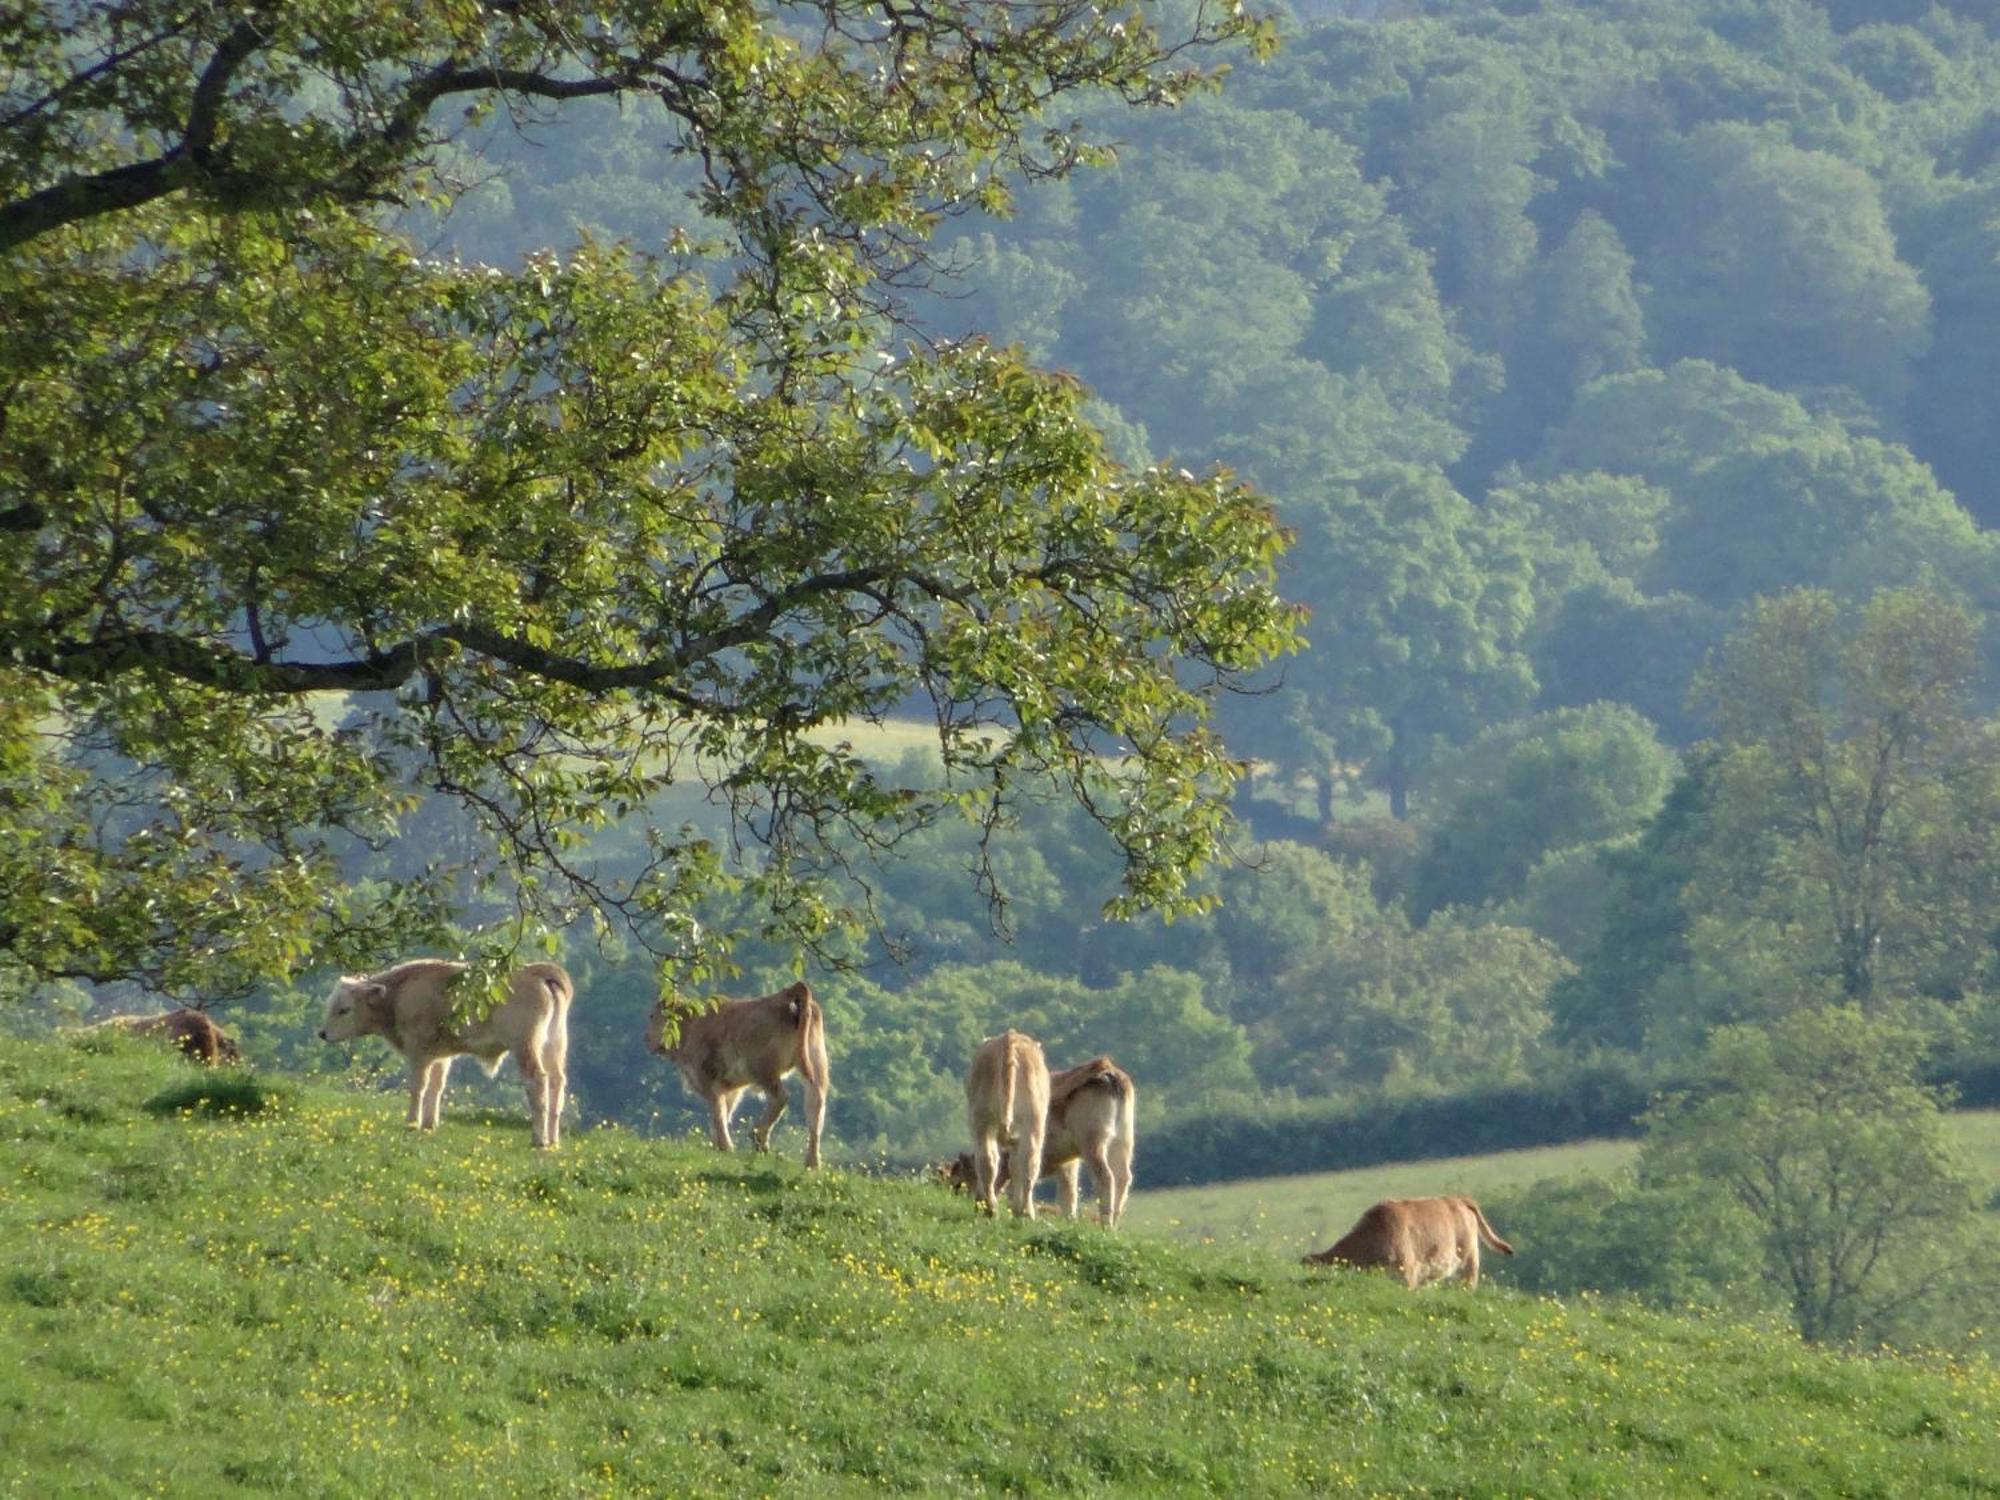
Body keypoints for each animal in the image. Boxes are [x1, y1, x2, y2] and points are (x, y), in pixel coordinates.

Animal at [316, 964, 576, 1152]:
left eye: (344, 1009)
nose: (323, 1033)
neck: (399, 993)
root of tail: (536, 972)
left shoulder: (419, 1053)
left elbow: (418, 1087)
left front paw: (412, 1123)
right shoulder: (440, 1057)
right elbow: (436, 1087)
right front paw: (429, 1125)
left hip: (525, 1047)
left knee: (537, 1081)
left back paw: (539, 1139)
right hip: (553, 1048)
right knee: (556, 1083)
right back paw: (553, 1140)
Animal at [644, 976, 824, 1176]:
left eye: (651, 1016)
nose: (646, 1039)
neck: (692, 1023)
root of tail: (790, 993)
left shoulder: (709, 1080)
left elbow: (718, 1113)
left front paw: (725, 1146)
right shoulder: (729, 1087)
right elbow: (725, 1111)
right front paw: (717, 1146)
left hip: (763, 1069)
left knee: (780, 1097)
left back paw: (759, 1138)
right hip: (816, 1067)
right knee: (816, 1108)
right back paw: (812, 1162)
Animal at [932, 1064, 1136, 1224]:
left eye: (958, 1184)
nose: (974, 1204)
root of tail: (1108, 1072)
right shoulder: (1068, 1163)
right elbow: (1068, 1197)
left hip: (1092, 1142)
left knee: (1106, 1177)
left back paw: (1106, 1224)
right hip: (1123, 1141)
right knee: (1123, 1177)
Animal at [964, 1032, 1056, 1224]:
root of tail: (1010, 1038)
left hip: (983, 1121)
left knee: (988, 1160)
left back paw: (991, 1209)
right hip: (1032, 1122)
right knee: (1028, 1162)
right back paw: (1024, 1212)